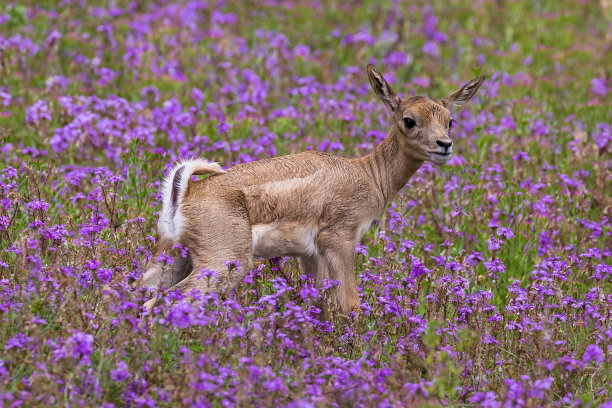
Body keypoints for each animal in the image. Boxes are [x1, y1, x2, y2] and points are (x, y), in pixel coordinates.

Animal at [141, 65, 486, 314]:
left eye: (450, 120)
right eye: (409, 119)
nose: (444, 145)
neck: (367, 173)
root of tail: (185, 193)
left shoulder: (310, 255)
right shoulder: (340, 242)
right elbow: (351, 305)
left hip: (171, 260)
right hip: (223, 266)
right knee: (165, 301)